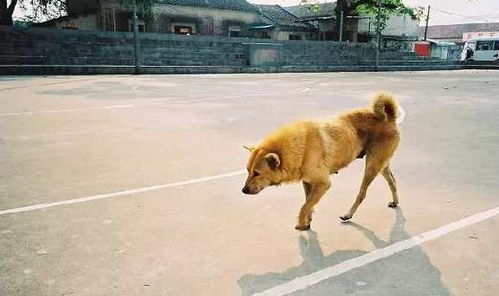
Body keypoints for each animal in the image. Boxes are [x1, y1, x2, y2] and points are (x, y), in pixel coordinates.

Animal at [242, 91, 402, 230]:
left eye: (257, 173)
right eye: (248, 171)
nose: (244, 190)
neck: (300, 145)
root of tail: (389, 117)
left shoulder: (323, 183)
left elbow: (305, 206)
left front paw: (301, 224)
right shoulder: (307, 182)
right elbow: (308, 202)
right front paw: (307, 221)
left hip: (372, 165)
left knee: (362, 194)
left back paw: (348, 214)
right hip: (381, 165)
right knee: (393, 181)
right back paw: (395, 202)